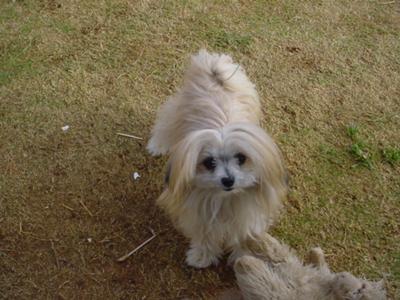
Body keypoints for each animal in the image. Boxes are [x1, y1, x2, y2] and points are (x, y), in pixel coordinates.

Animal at [147, 49, 288, 268]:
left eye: (241, 158)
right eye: (209, 162)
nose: (228, 180)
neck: (225, 200)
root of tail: (214, 67)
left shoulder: (248, 215)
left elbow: (243, 236)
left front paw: (244, 258)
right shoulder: (200, 214)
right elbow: (205, 236)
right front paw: (202, 256)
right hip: (176, 113)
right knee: (165, 124)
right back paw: (157, 145)